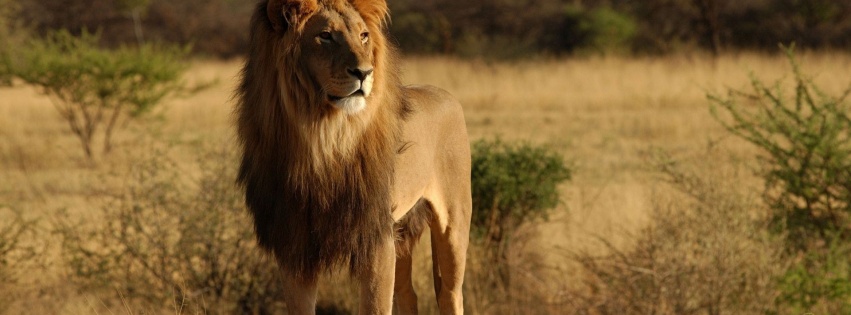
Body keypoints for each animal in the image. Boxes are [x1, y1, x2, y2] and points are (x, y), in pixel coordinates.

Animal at [235, 1, 472, 314]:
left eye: (363, 36)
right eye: (325, 36)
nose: (364, 72)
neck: (322, 139)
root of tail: (446, 94)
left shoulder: (376, 239)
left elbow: (376, 306)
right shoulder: (294, 246)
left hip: (453, 225)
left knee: (450, 293)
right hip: (400, 231)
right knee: (408, 294)